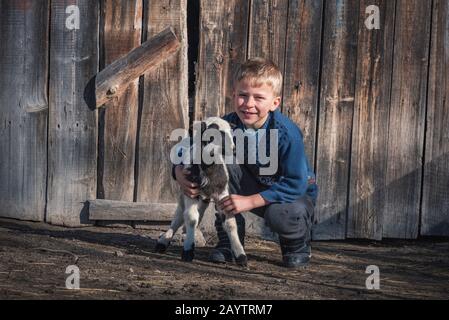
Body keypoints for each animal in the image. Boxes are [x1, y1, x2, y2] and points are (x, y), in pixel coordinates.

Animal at [153, 117, 245, 264]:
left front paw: (240, 255)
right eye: (212, 134)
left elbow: (230, 223)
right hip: (183, 196)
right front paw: (188, 251)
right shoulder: (190, 192)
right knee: (178, 218)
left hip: (204, 200)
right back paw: (163, 241)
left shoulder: (222, 193)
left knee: (196, 215)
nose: (233, 149)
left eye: (231, 133)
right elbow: (191, 218)